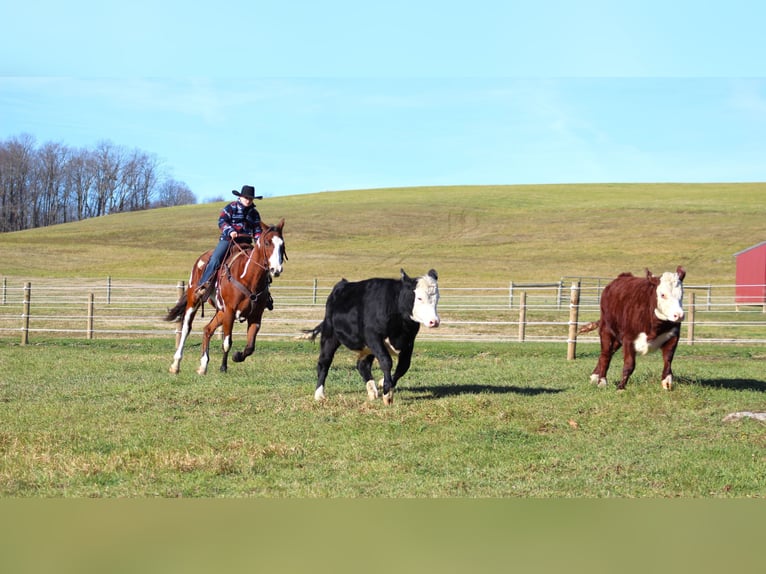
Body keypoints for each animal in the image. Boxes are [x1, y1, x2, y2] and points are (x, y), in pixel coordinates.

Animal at [166, 218, 288, 376]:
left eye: (282, 244)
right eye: (267, 243)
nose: (276, 269)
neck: (248, 277)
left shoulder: (256, 316)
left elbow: (250, 347)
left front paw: (237, 356)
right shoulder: (230, 311)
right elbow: (226, 342)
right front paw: (223, 366)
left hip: (221, 311)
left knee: (207, 329)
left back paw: (203, 366)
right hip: (194, 301)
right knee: (186, 328)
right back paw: (176, 364)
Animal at [304, 268, 440, 404]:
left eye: (437, 297)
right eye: (419, 298)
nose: (434, 321)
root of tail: (342, 284)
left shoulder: (408, 342)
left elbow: (403, 366)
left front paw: (383, 384)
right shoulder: (373, 337)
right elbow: (386, 361)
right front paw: (387, 394)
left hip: (367, 347)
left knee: (362, 364)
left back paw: (372, 391)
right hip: (330, 335)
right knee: (324, 362)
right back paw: (319, 394)